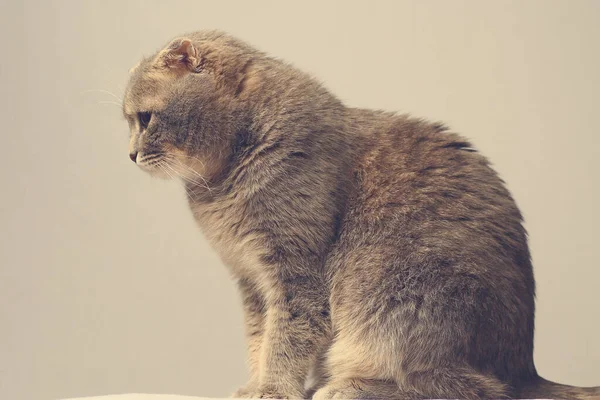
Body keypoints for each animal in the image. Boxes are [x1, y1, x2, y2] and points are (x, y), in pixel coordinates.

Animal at [122, 29, 600, 398]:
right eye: (128, 122)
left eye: (145, 119)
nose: (129, 154)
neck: (219, 185)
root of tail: (525, 372)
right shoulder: (251, 280)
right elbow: (260, 337)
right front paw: (256, 384)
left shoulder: (296, 274)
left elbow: (285, 338)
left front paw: (273, 389)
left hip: (392, 297)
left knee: (460, 387)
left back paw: (346, 387)